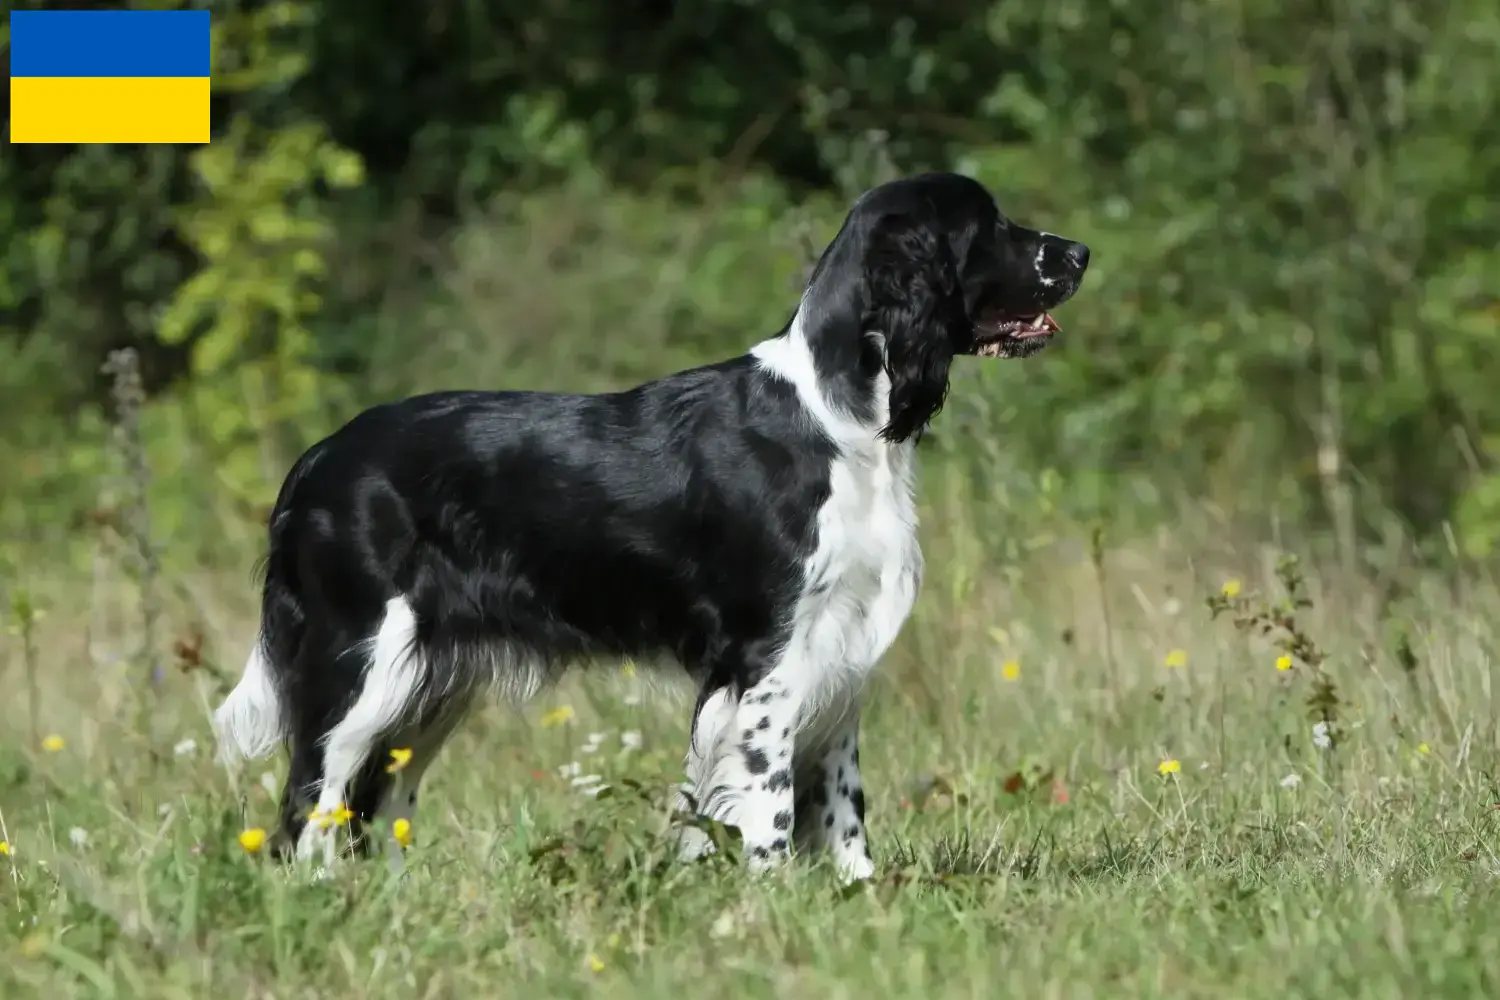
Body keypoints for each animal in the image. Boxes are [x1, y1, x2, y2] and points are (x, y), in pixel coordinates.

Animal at [211, 172, 1086, 881]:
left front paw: (857, 893)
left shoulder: (839, 650)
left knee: (374, 802)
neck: (838, 423)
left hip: (430, 684)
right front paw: (769, 897)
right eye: (990, 225)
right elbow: (766, 796)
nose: (1079, 252)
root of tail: (316, 459)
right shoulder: (764, 657)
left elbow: (840, 803)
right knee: (310, 799)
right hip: (360, 662)